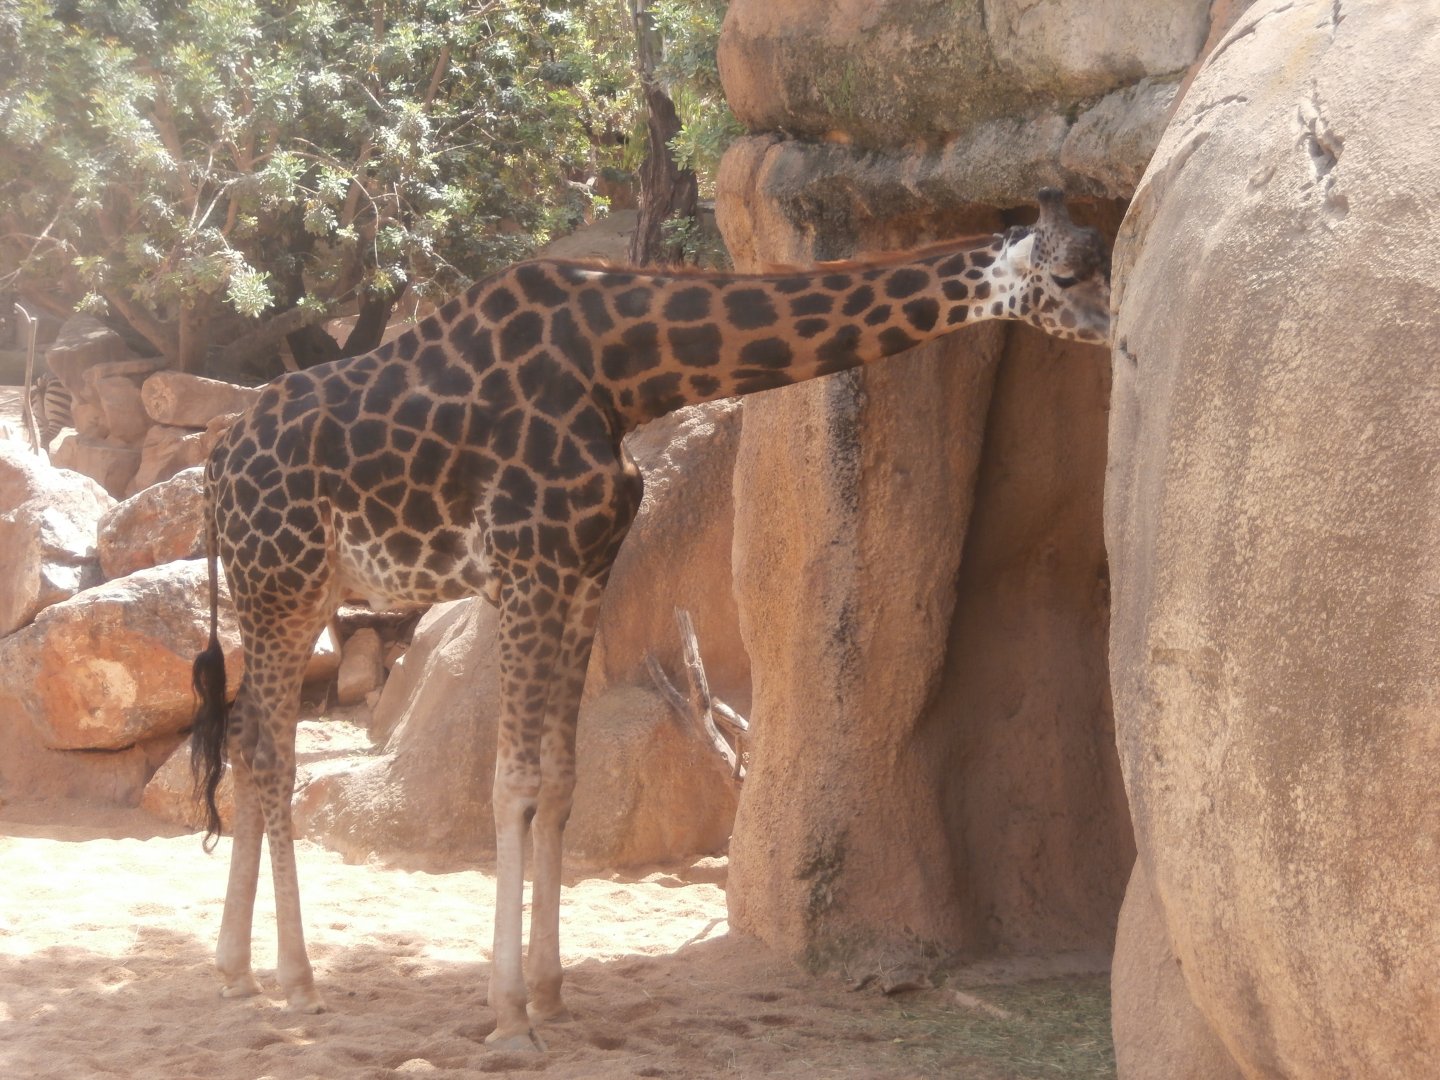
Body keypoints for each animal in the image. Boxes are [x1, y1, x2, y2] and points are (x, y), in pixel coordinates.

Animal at [189, 187, 1110, 1049]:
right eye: (1068, 276)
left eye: (1104, 261)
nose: (1114, 334)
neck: (626, 372)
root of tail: (217, 461)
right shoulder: (529, 567)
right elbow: (514, 780)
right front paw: (509, 1013)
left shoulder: (582, 573)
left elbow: (561, 778)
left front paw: (550, 993)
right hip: (281, 583)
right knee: (270, 752)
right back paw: (297, 980)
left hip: (294, 592)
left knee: (246, 736)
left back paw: (236, 971)